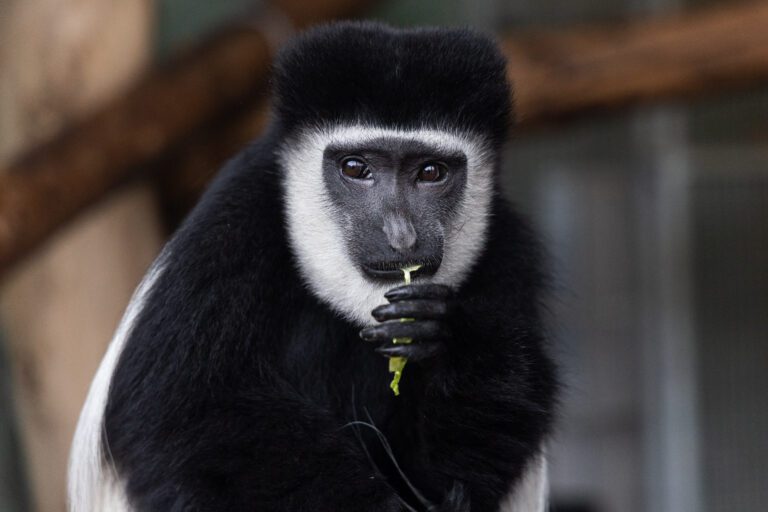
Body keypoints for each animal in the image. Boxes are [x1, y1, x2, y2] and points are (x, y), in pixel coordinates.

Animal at [69, 22, 557, 512]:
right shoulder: (231, 223)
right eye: (355, 168)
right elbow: (182, 411)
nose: (400, 236)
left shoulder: (509, 253)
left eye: (431, 172)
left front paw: (451, 336)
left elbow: (484, 447)